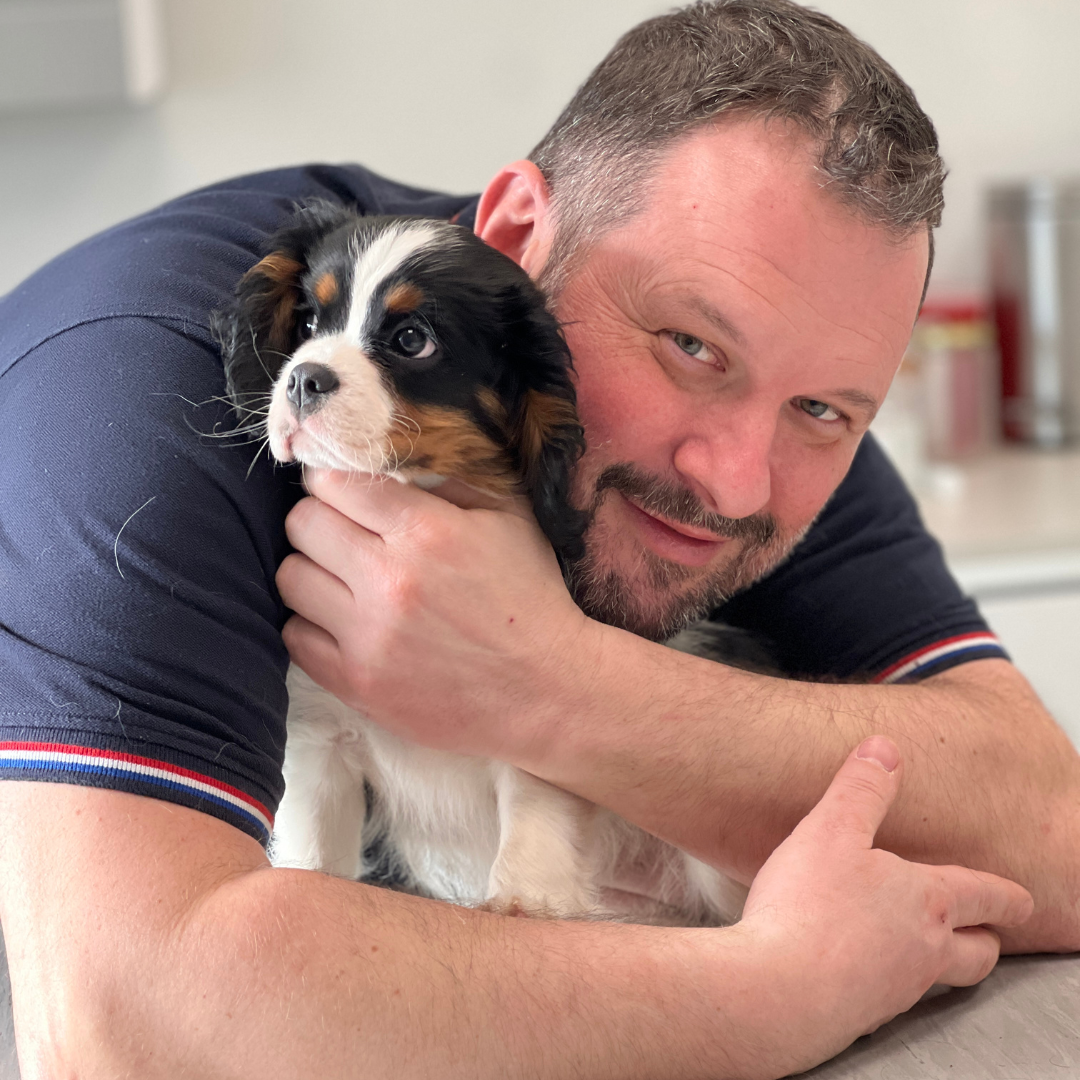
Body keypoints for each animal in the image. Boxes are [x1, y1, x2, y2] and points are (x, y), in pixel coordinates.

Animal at [213, 201, 747, 923]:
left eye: (412, 340)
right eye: (308, 325)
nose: (302, 378)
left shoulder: (540, 737)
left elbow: (532, 839)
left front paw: (526, 903)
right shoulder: (323, 737)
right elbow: (315, 860)